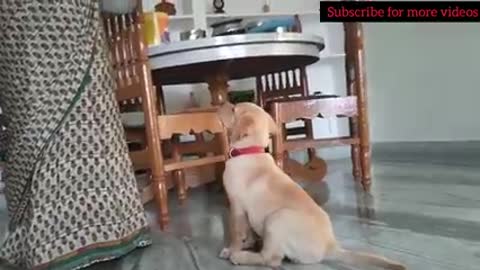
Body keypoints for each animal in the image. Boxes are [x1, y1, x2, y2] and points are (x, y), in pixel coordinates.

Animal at [218, 102, 404, 268]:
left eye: (233, 109)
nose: (220, 105)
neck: (250, 150)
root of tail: (330, 247)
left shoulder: (236, 205)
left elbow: (236, 232)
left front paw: (231, 249)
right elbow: (247, 231)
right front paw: (247, 242)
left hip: (277, 218)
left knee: (271, 259)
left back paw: (240, 257)